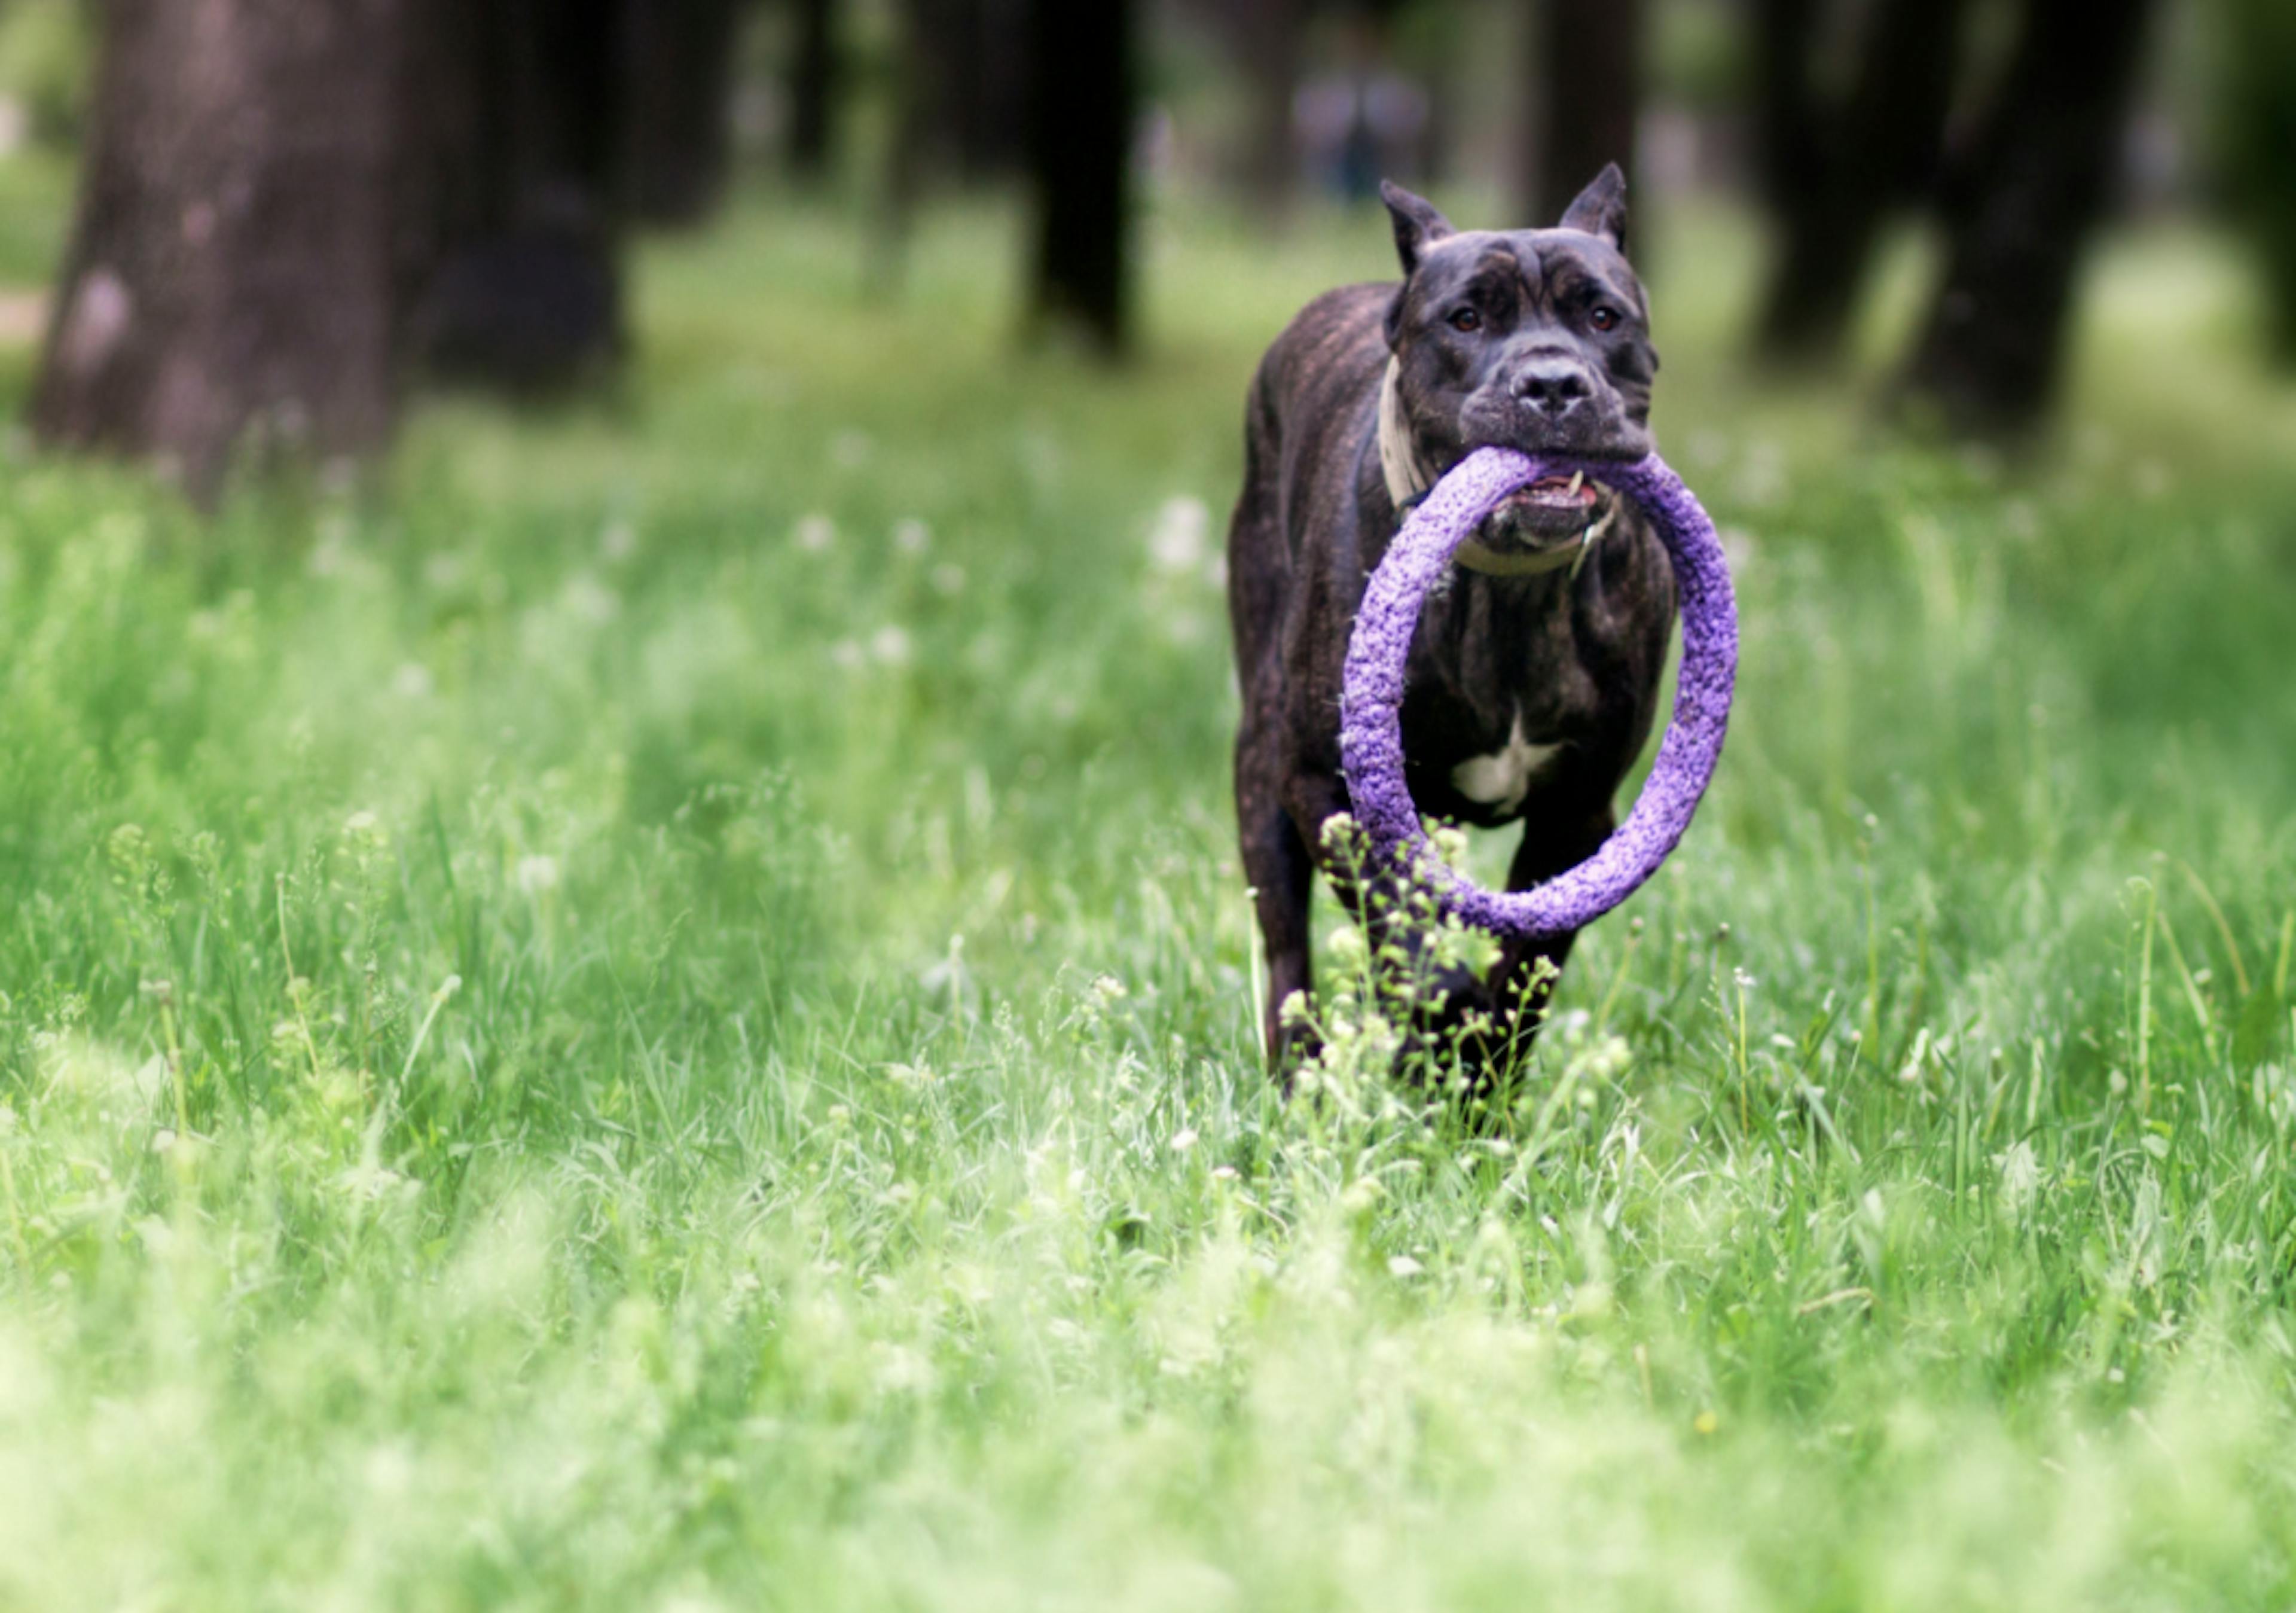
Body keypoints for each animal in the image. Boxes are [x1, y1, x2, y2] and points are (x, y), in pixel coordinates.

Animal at [1221, 167, 1690, 1075]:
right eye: (1467, 319)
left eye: (1603, 317)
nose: (1553, 385)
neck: (1510, 592)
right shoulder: (1323, 787)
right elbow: (1405, 931)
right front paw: (1443, 1022)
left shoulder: (1579, 813)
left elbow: (1529, 963)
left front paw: (1483, 1068)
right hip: (1261, 770)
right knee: (1288, 953)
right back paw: (1301, 1072)